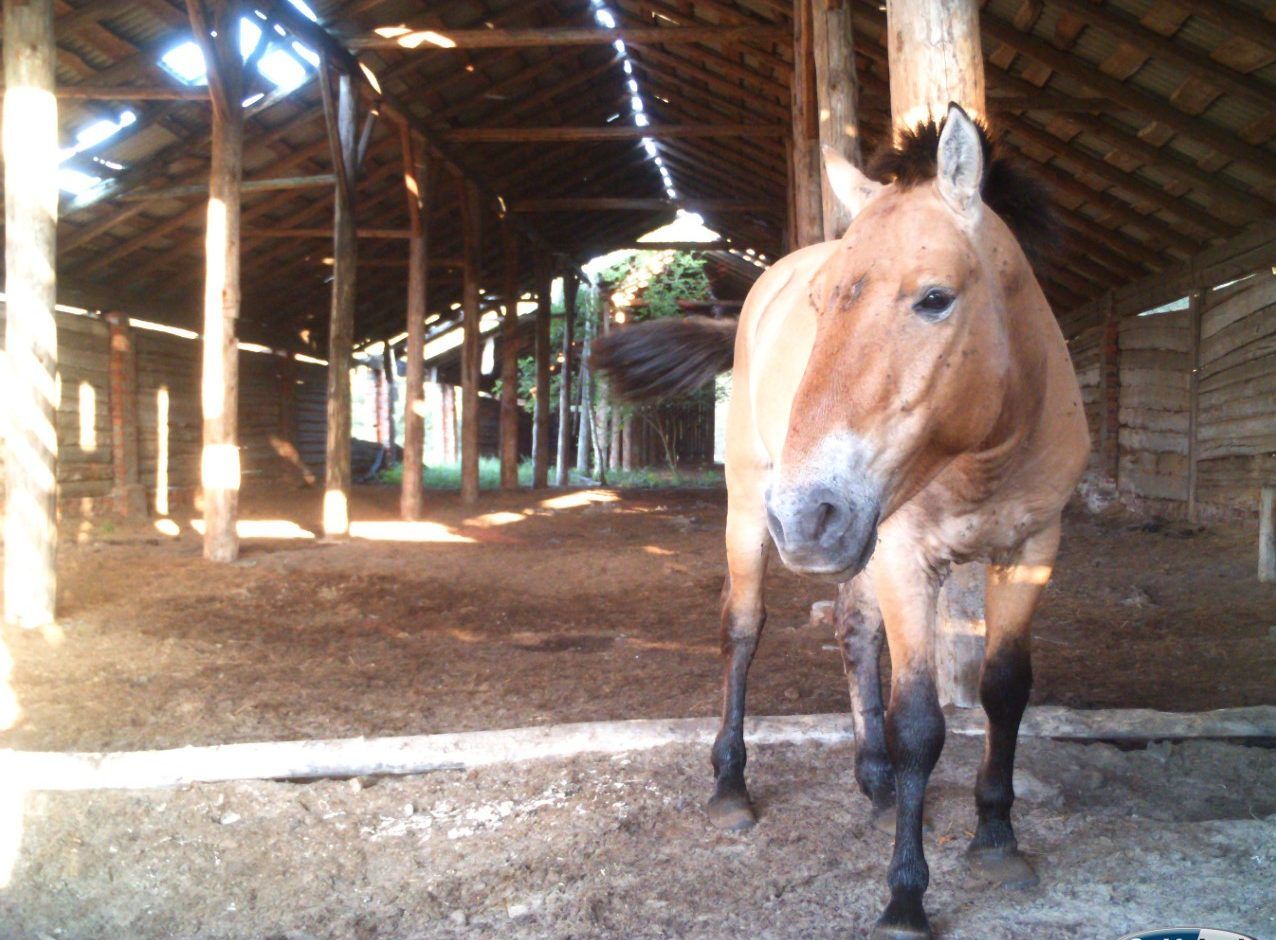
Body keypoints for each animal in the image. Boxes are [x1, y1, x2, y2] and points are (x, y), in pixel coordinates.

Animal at [592, 102, 1092, 938]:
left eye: (934, 297)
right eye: (823, 304)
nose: (806, 514)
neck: (986, 451)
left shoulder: (1031, 550)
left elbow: (1003, 691)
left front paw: (996, 836)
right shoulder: (907, 556)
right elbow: (919, 722)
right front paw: (906, 897)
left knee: (854, 637)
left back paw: (876, 781)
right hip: (756, 514)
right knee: (742, 630)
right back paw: (731, 786)